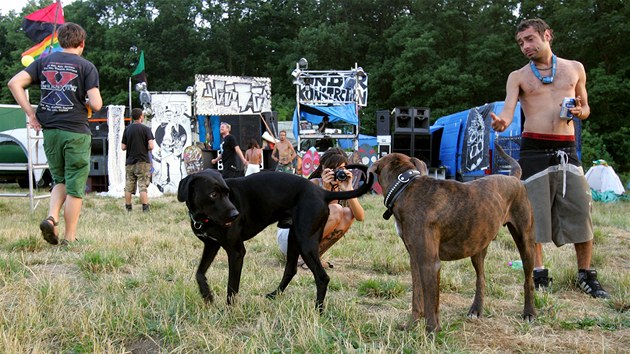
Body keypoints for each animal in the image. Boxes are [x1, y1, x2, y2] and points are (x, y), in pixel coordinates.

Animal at [178, 169, 376, 310]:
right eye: (213, 194)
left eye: (227, 193)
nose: (235, 215)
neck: (203, 217)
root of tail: (322, 192)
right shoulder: (211, 245)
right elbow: (199, 273)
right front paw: (207, 296)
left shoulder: (236, 252)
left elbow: (232, 287)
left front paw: (229, 310)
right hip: (294, 240)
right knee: (291, 270)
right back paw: (275, 294)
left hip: (305, 243)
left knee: (322, 277)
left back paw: (318, 311)